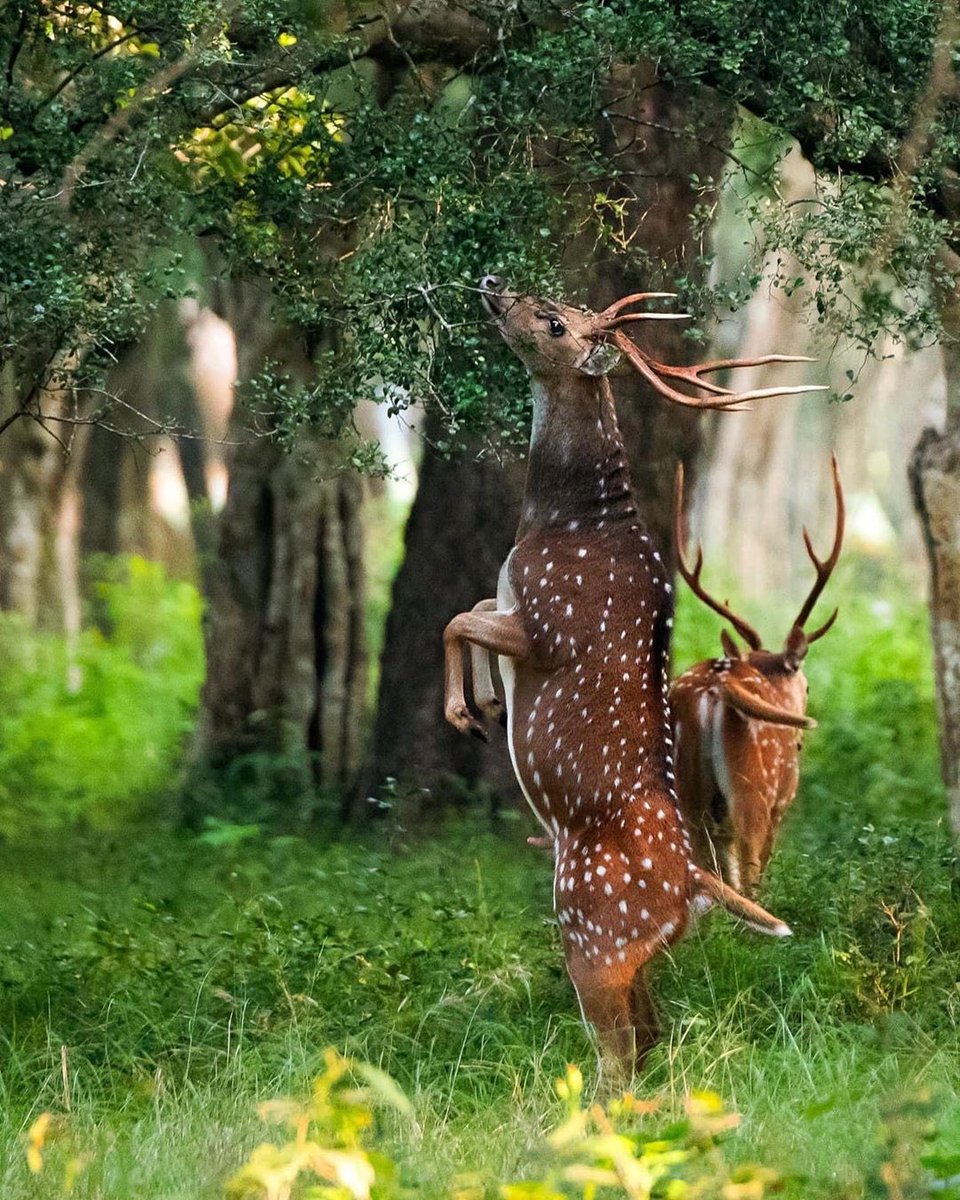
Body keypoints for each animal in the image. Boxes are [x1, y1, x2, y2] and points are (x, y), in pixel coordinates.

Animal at [442, 275, 825, 1078]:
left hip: (592, 933)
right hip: (640, 953)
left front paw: (466, 712)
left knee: (619, 1056)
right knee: (652, 1040)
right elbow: (473, 605)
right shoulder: (514, 602)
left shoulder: (547, 621)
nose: (493, 284)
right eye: (550, 299)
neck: (566, 520)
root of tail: (694, 888)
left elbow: (457, 617)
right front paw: (485, 701)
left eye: (553, 320)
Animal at [670, 455, 844, 899]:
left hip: (687, 792)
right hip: (753, 791)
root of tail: (715, 689)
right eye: (807, 685)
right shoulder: (782, 800)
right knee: (748, 872)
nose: (798, 742)